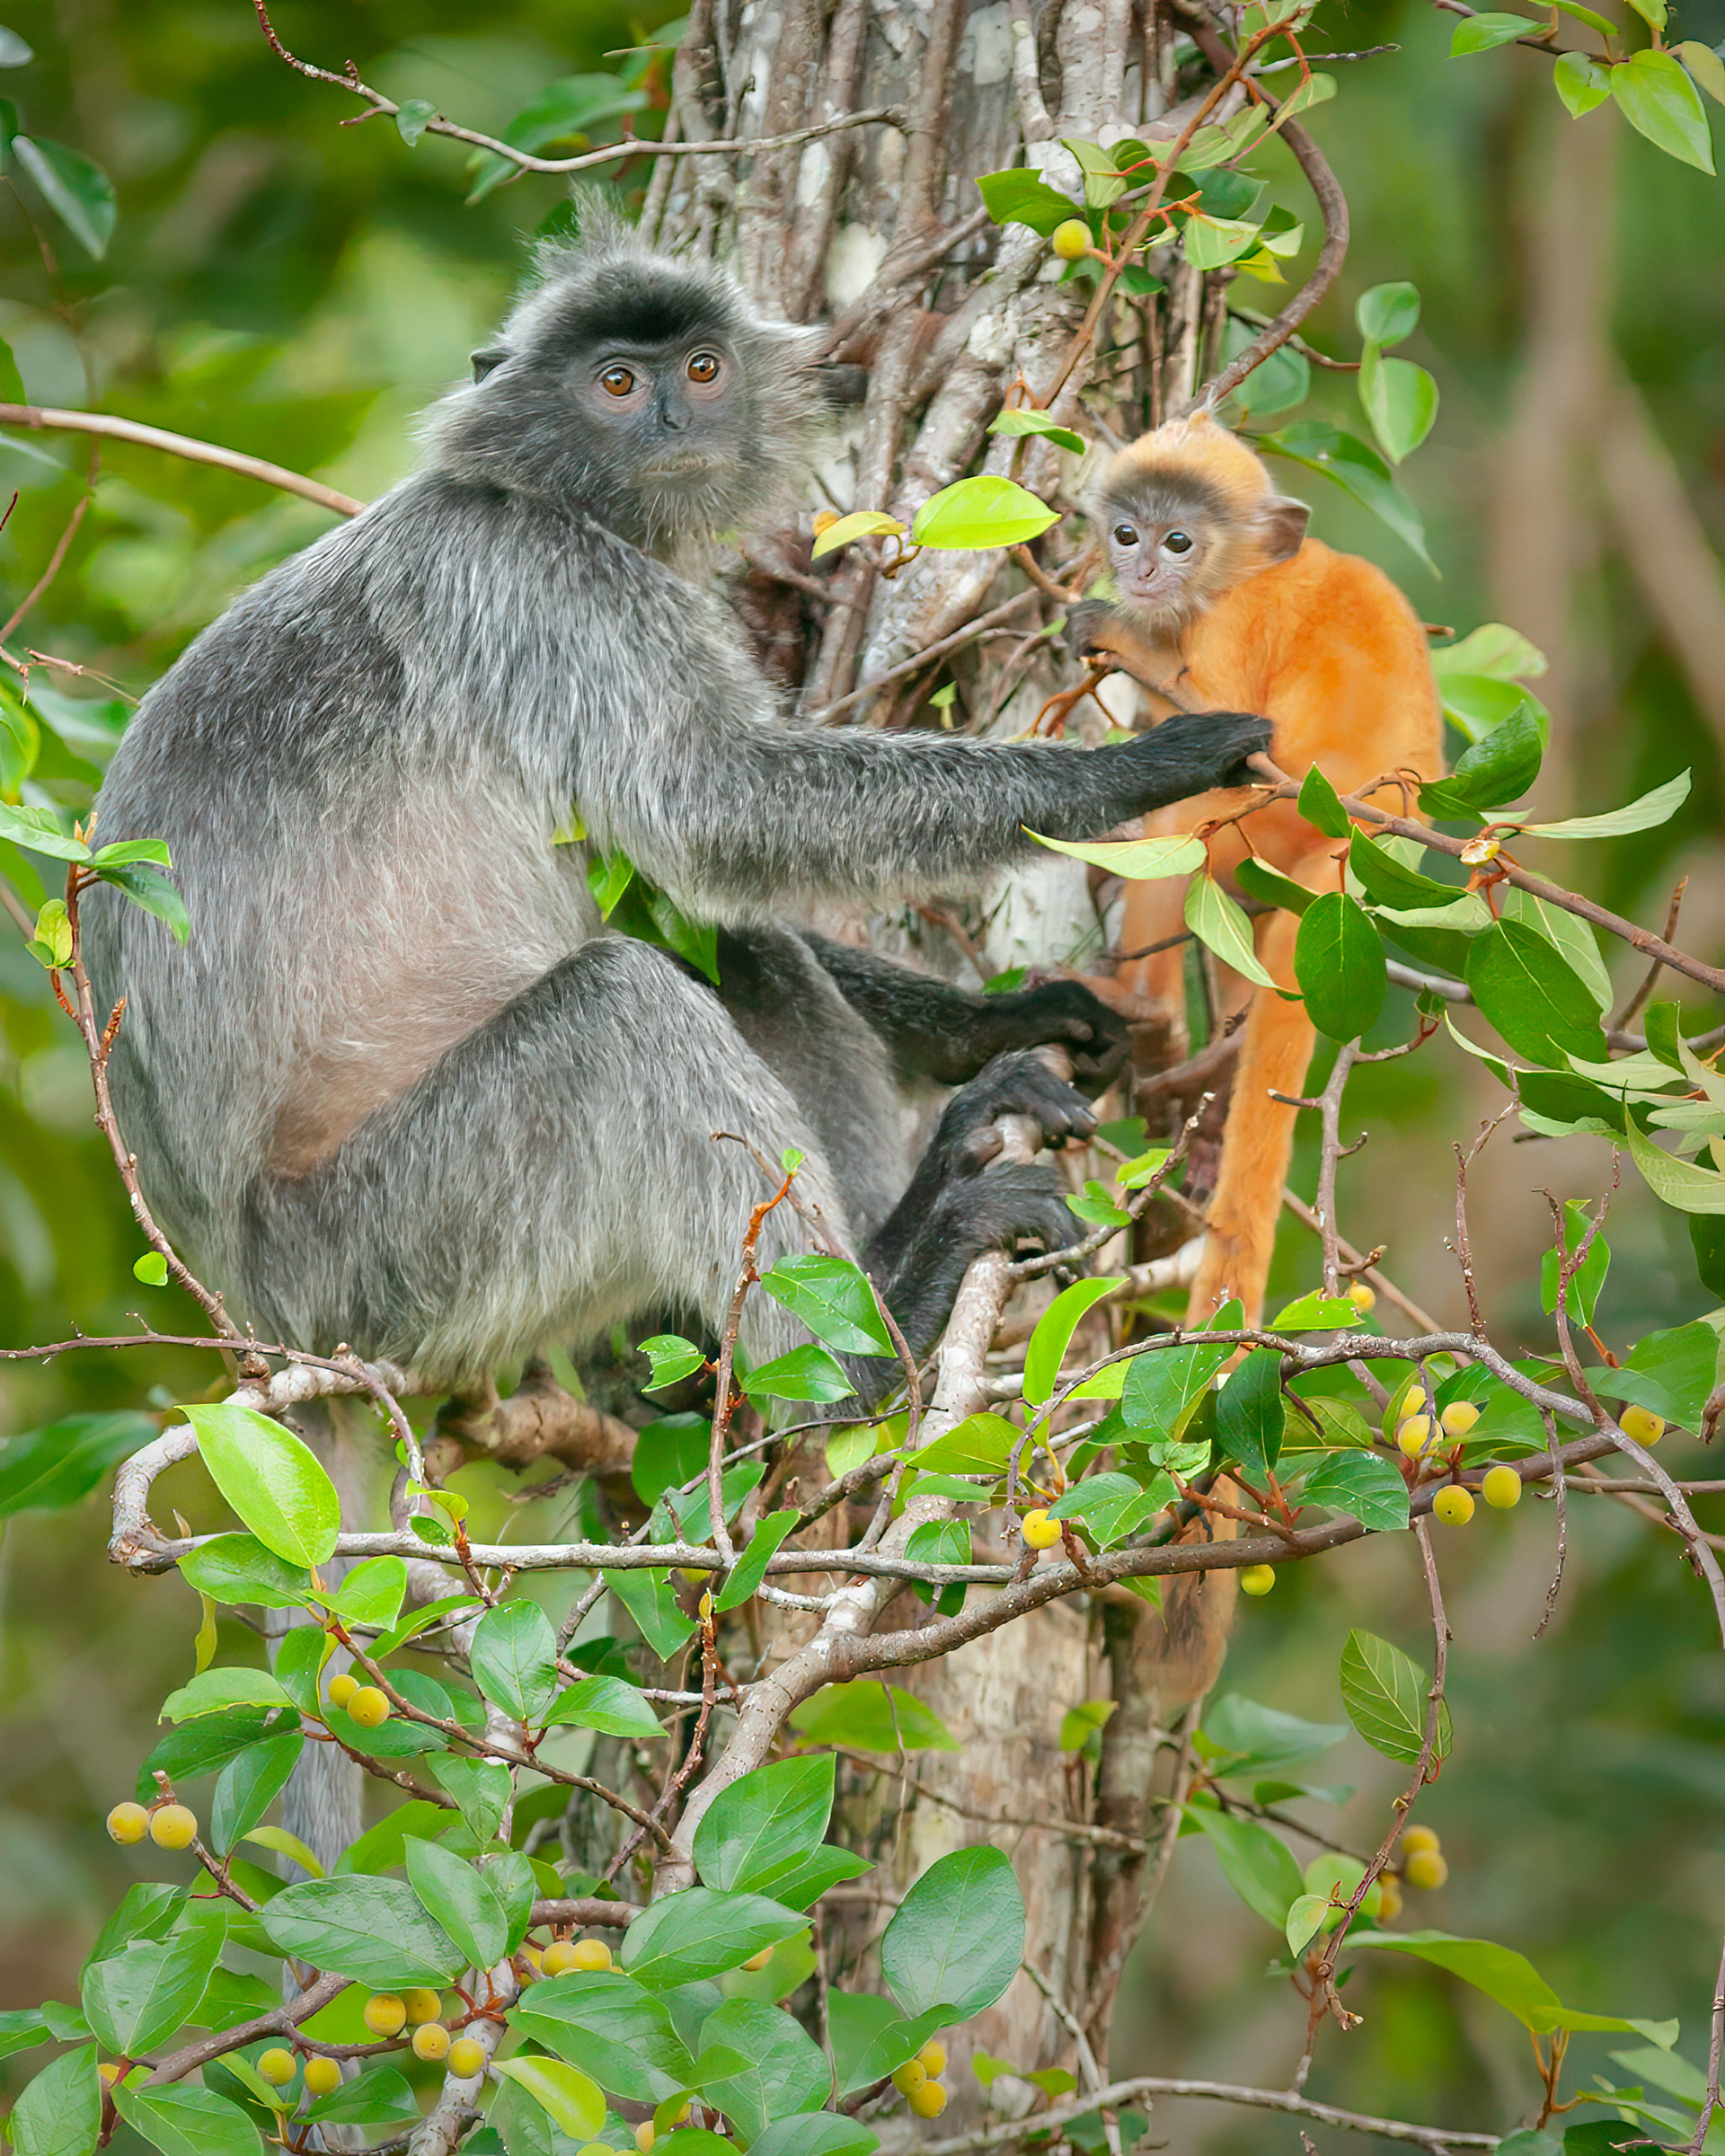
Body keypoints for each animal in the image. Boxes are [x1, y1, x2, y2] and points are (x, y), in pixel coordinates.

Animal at [82, 213, 1274, 1430]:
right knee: (625, 1005)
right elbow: (717, 805)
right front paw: (1142, 770)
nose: (671, 421)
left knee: (737, 949)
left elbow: (693, 882)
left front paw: (998, 1022)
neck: (531, 498)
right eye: (616, 383)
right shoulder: (545, 591)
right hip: (389, 1255)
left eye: (702, 370)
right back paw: (874, 1336)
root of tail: (258, 1318)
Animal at [1069, 410, 1446, 1333]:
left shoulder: (1230, 626)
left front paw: (1115, 634)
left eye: (1178, 541)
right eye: (1126, 531)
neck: (1248, 571)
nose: (1139, 570)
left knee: (1185, 825)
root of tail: (1360, 832)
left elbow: (1221, 721)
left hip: (1262, 826)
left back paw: (1145, 1008)